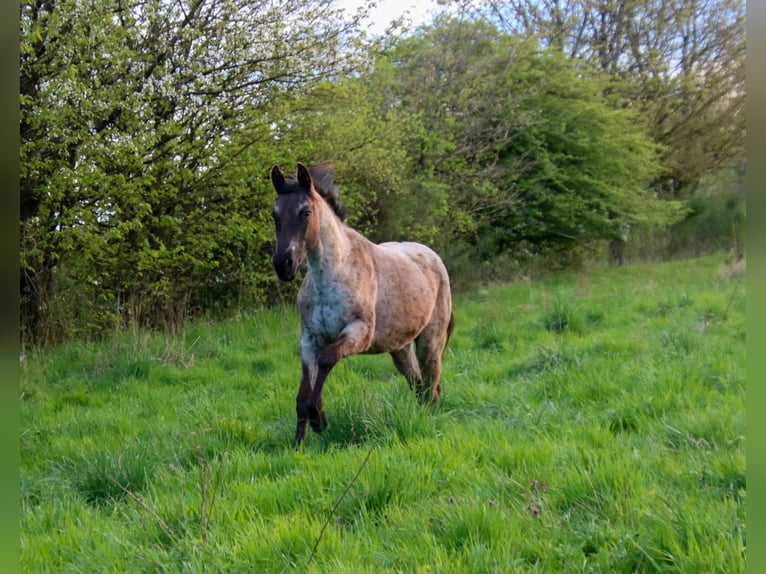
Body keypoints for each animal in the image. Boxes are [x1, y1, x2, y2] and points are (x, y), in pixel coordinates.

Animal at [270, 162, 454, 446]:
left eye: (305, 212)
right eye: (274, 214)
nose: (283, 265)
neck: (332, 276)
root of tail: (432, 257)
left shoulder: (358, 333)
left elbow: (326, 360)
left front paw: (319, 419)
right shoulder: (309, 339)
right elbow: (302, 394)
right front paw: (299, 442)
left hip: (430, 341)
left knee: (431, 386)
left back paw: (429, 424)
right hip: (400, 348)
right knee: (417, 383)